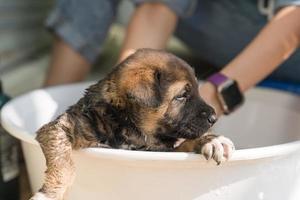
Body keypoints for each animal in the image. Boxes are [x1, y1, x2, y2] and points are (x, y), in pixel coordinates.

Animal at [30, 48, 234, 200]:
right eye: (182, 96)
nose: (214, 117)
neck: (128, 125)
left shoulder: (162, 150)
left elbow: (184, 145)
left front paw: (211, 140)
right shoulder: (63, 127)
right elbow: (64, 163)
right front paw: (49, 194)